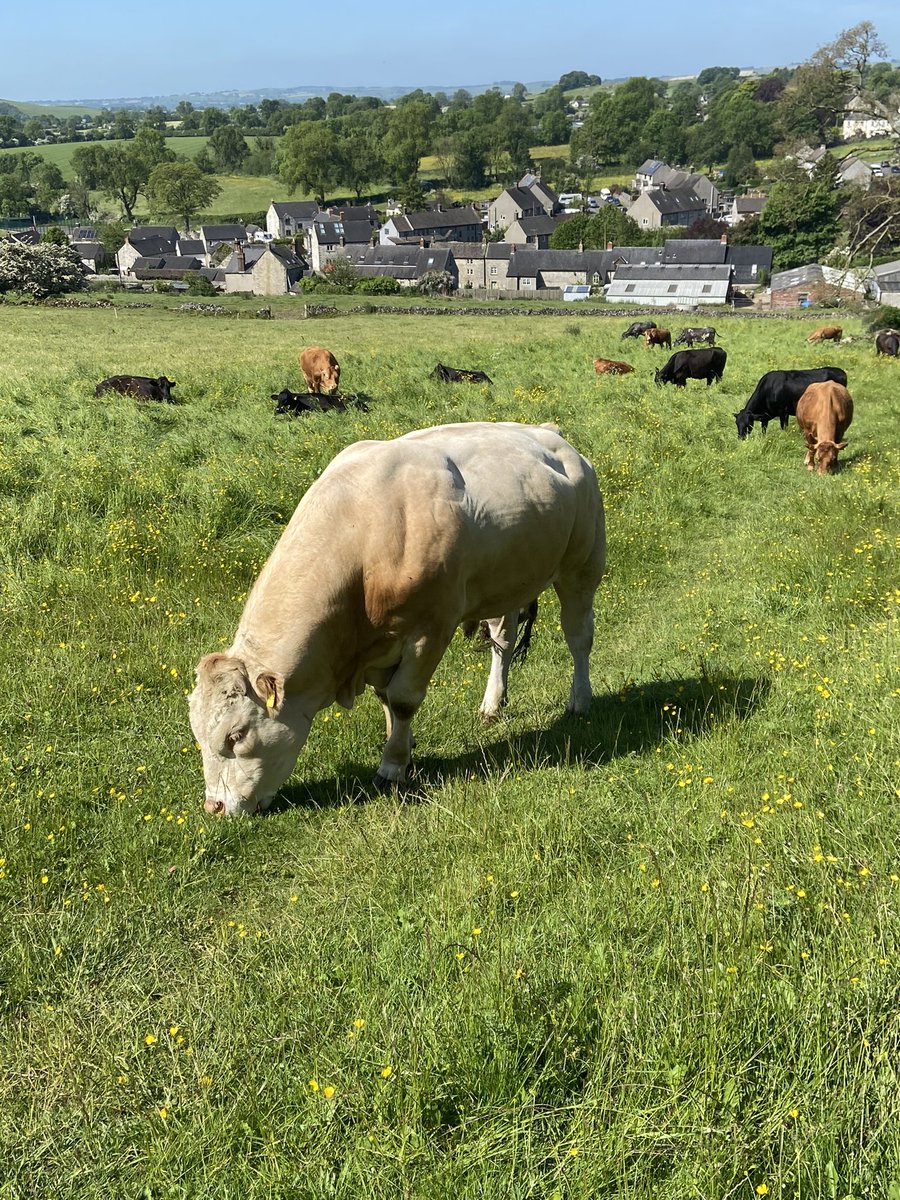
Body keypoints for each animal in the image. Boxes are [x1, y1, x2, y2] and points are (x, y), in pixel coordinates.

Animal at [188, 422, 606, 815]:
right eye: (198, 734)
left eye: (236, 735)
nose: (214, 807)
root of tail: (549, 433)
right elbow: (385, 697)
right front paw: (403, 744)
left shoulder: (431, 627)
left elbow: (403, 698)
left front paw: (391, 766)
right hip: (508, 581)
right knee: (503, 640)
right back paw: (492, 703)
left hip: (582, 566)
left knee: (579, 636)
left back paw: (580, 699)